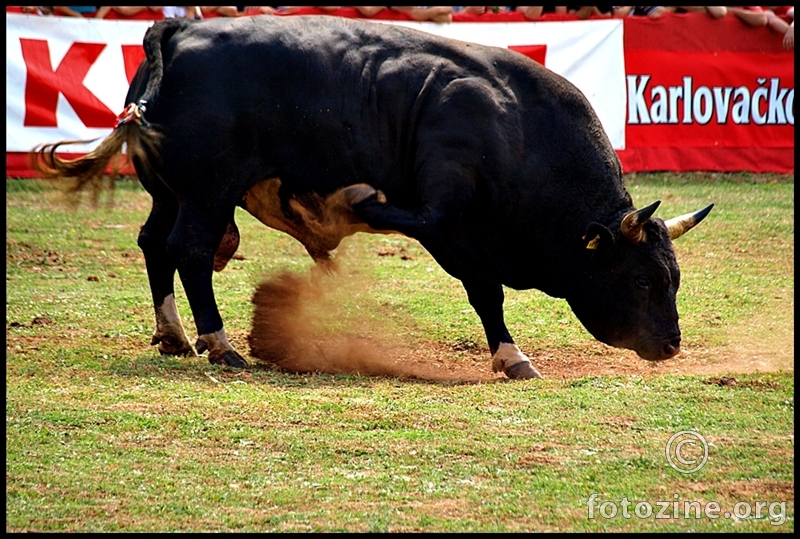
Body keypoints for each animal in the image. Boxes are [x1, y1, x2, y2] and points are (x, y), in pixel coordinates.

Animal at [36, 16, 712, 380]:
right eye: (643, 280)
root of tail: (180, 31)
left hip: (169, 193)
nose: (671, 344)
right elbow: (479, 285)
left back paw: (174, 334)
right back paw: (220, 345)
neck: (515, 123)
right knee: (193, 252)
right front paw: (512, 355)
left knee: (155, 243)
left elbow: (483, 290)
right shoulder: (444, 220)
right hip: (206, 194)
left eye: (675, 279)